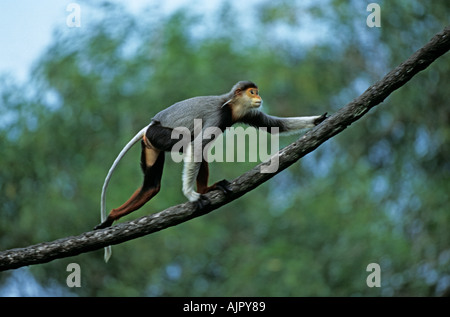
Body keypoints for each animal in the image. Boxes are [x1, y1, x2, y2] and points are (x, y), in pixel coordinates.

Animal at [95, 81, 326, 260]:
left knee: (152, 185)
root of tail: (151, 125)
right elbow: (196, 146)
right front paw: (190, 194)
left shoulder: (246, 113)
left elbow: (275, 125)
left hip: (151, 143)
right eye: (252, 92)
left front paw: (318, 119)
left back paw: (112, 216)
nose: (259, 96)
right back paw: (200, 191)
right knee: (191, 142)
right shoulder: (218, 115)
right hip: (159, 134)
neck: (232, 107)